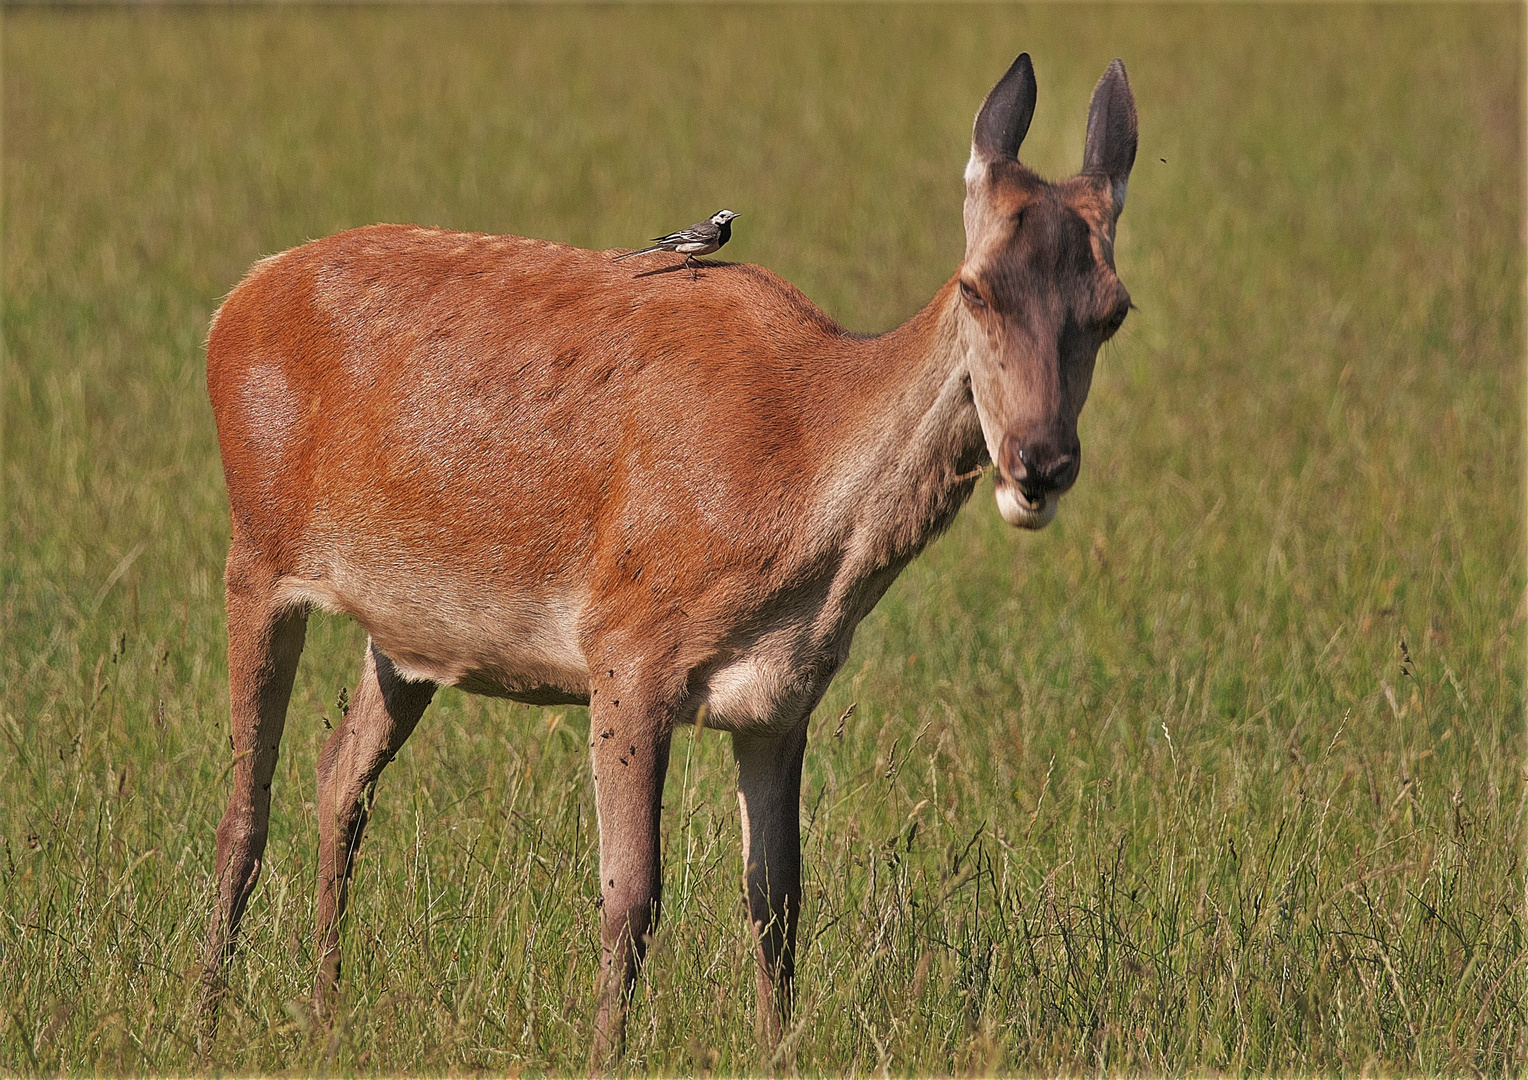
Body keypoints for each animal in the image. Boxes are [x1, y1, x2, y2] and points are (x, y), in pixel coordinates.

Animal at [200, 52, 1136, 1063]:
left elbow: (778, 902)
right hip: (255, 547)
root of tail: (231, 304)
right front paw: (603, 1055)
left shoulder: (782, 697)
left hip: (403, 634)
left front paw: (777, 1053)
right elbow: (631, 899)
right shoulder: (627, 643)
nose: (1040, 462)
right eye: (974, 288)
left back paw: (323, 1011)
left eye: (1113, 311)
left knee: (339, 775)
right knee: (242, 808)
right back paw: (205, 1019)